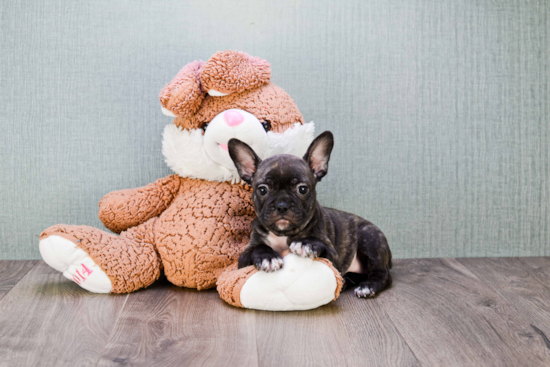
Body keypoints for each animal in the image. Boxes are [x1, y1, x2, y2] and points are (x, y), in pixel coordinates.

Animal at [229, 132, 392, 300]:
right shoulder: (244, 257)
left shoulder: (332, 257)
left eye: (302, 189)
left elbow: (317, 242)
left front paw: (305, 243)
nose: (282, 205)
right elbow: (259, 247)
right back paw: (347, 281)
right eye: (262, 190)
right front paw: (268, 257)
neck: (283, 234)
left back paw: (367, 286)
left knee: (382, 274)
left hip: (370, 237)